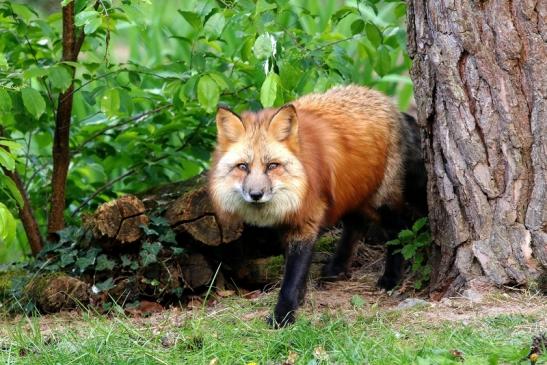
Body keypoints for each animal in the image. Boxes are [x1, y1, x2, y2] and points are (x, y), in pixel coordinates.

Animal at [211, 85, 424, 328]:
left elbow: (292, 276)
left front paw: (283, 314)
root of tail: (390, 104)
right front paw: (299, 299)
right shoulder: (289, 222)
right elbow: (295, 269)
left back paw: (391, 278)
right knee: (356, 225)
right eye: (243, 167)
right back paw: (337, 268)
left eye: (272, 166)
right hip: (350, 194)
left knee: (400, 229)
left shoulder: (306, 221)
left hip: (380, 202)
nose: (256, 195)